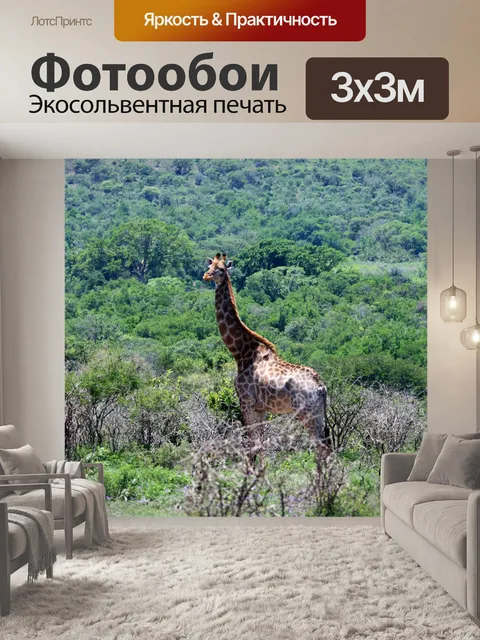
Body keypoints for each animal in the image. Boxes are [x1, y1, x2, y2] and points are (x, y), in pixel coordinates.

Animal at [203, 253, 330, 455]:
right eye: (210, 266)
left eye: (221, 269)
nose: (206, 276)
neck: (241, 351)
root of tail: (321, 387)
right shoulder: (261, 407)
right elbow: (260, 444)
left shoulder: (245, 400)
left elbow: (251, 445)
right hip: (318, 414)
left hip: (306, 413)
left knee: (320, 447)